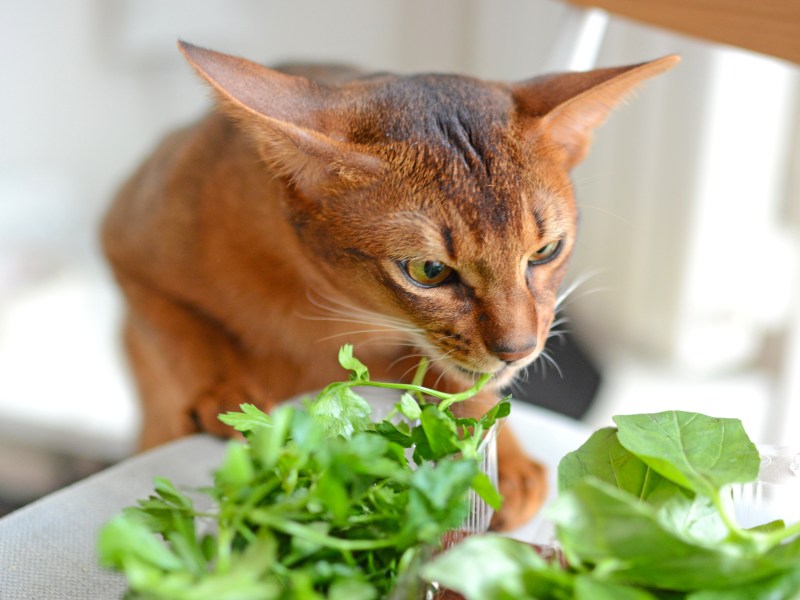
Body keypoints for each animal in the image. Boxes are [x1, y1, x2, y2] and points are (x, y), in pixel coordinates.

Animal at [98, 42, 676, 528]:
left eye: (545, 252)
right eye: (428, 271)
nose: (518, 349)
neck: (324, 305)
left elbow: (463, 386)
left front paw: (501, 461)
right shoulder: (123, 244)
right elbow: (180, 329)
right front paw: (225, 392)